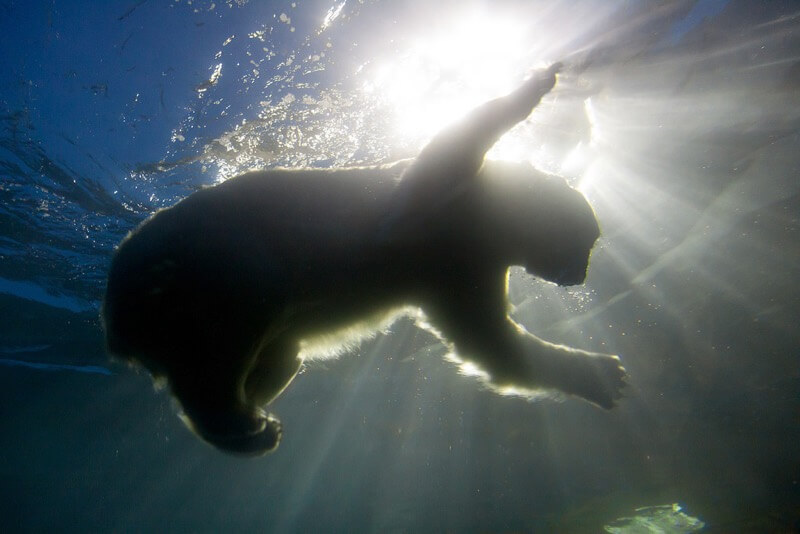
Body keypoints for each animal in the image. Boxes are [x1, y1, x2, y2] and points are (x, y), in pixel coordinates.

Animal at [102, 64, 626, 456]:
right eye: (588, 241)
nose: (580, 276)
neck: (481, 223)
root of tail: (115, 314)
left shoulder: (458, 274)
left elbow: (492, 344)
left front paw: (606, 376)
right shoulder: (426, 208)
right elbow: (448, 151)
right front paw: (536, 85)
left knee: (279, 353)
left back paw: (258, 409)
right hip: (212, 257)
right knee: (233, 324)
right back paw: (245, 424)